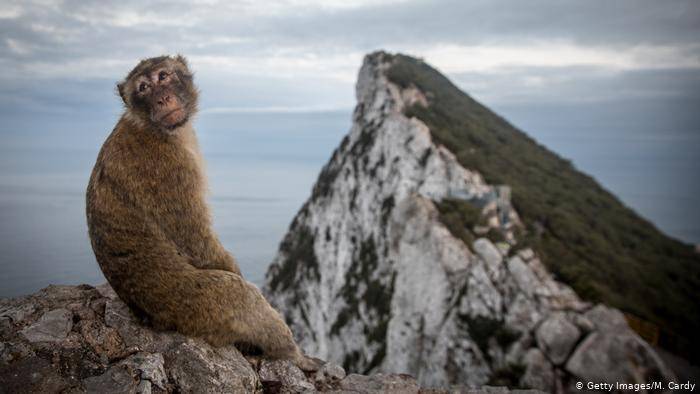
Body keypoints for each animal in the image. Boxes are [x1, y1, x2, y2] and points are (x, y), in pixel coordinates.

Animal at [86, 53, 318, 370]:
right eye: (143, 87)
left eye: (163, 77)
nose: (162, 98)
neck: (152, 127)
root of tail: (151, 317)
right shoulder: (168, 169)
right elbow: (196, 242)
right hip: (194, 308)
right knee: (241, 298)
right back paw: (290, 353)